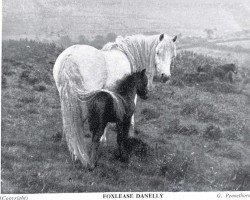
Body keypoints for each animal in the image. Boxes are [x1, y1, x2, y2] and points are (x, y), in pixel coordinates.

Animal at [53, 33, 177, 166]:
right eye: (158, 52)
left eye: (173, 55)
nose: (165, 76)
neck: (127, 55)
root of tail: (69, 58)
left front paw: (104, 140)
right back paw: (78, 154)